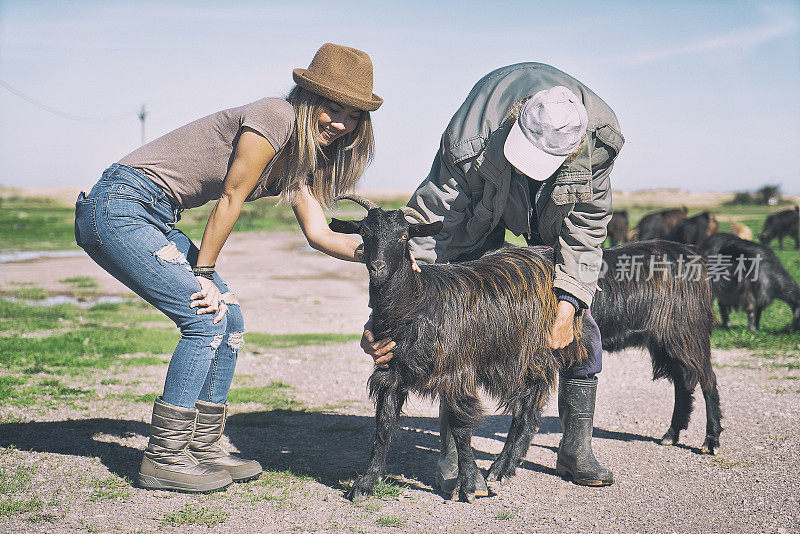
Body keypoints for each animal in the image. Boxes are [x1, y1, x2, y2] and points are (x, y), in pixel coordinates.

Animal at [592, 243, 720, 456]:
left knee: (707, 378)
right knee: (683, 381)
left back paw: (711, 440)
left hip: (688, 333)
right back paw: (671, 434)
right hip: (667, 342)